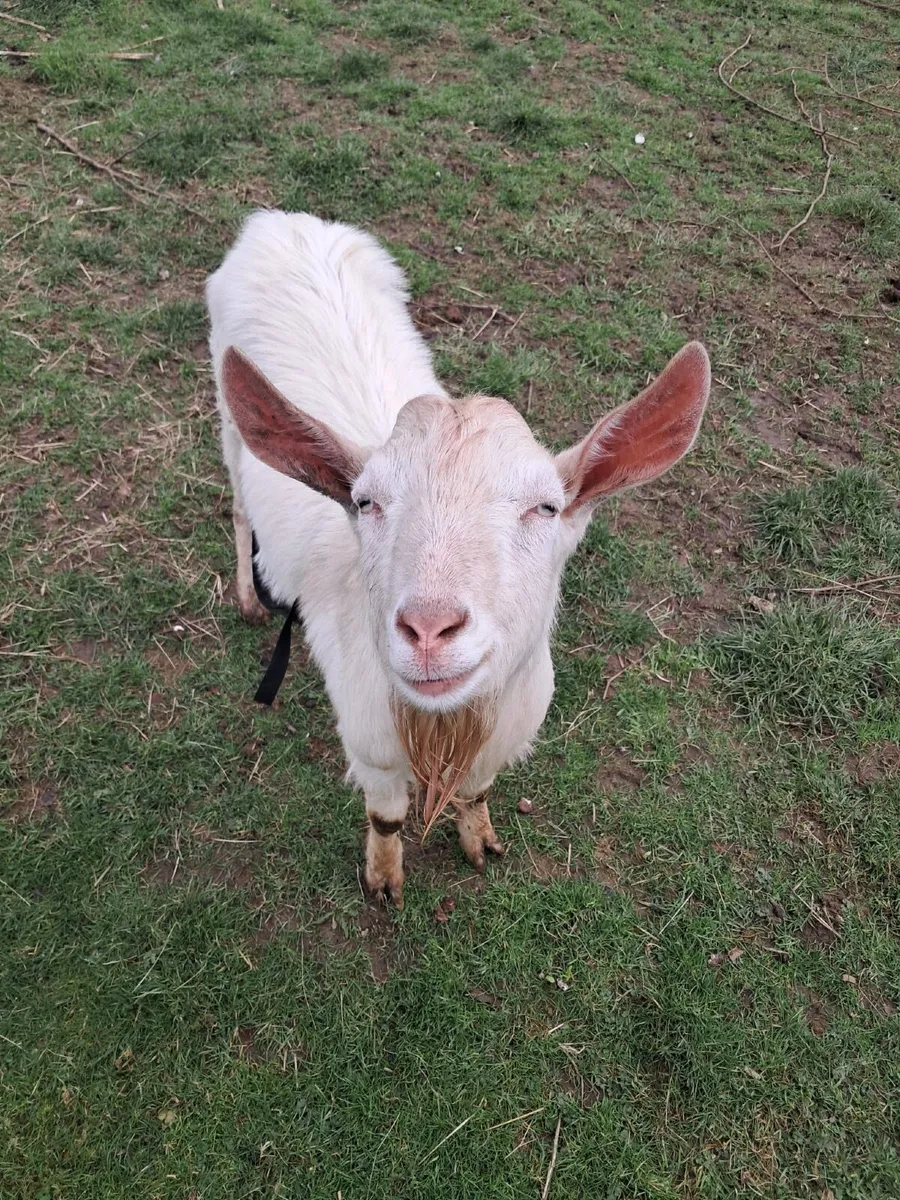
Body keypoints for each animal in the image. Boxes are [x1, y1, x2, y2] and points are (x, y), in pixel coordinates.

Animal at [207, 210, 710, 906]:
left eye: (547, 507)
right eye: (365, 501)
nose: (428, 629)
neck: (444, 727)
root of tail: (278, 221)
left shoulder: (502, 737)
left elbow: (477, 793)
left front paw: (479, 842)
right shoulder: (370, 743)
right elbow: (386, 817)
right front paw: (384, 881)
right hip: (228, 421)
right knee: (237, 506)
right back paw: (249, 597)